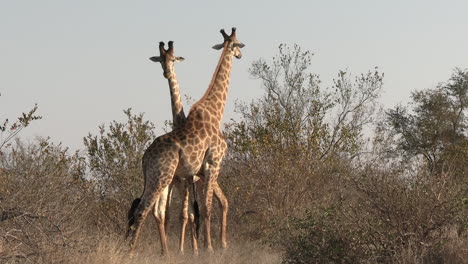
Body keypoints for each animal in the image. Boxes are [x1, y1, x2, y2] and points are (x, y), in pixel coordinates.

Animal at [128, 27, 245, 256]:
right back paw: (131, 253)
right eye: (238, 45)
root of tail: (145, 157)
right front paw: (207, 249)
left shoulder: (192, 175)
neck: (215, 113)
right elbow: (203, 210)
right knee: (143, 210)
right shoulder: (212, 164)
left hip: (158, 178)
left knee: (152, 210)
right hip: (163, 177)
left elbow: (194, 212)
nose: (241, 55)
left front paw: (199, 248)